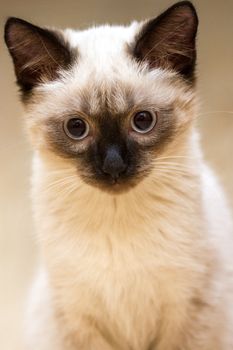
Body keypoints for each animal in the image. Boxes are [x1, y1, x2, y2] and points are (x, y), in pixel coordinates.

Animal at [3, 1, 233, 348]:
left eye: (142, 121)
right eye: (77, 128)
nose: (113, 166)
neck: (117, 220)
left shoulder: (188, 311)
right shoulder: (78, 318)